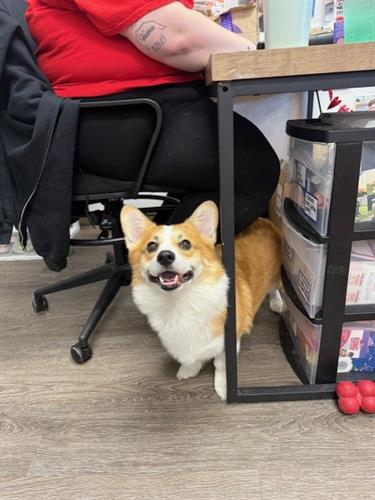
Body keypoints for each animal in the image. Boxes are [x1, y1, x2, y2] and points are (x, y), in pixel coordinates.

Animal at [122, 201, 284, 400]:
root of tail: (263, 219)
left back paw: (277, 303)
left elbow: (221, 366)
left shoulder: (228, 342)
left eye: (185, 244)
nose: (165, 256)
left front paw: (223, 387)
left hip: (275, 277)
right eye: (151, 246)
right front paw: (189, 369)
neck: (180, 301)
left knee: (275, 289)